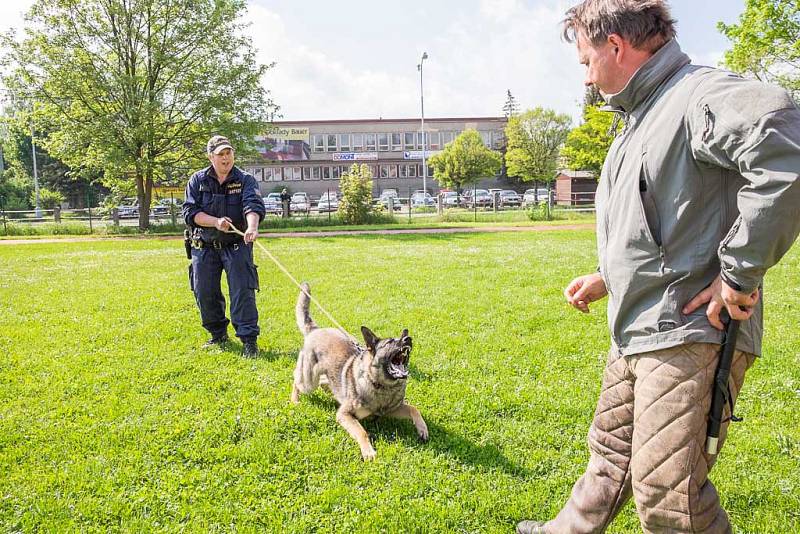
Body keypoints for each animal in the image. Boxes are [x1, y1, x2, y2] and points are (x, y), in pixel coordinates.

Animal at [290, 282, 428, 462]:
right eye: (390, 342)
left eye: (401, 338)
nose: (408, 338)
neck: (382, 386)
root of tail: (315, 330)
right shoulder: (344, 415)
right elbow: (362, 432)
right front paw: (368, 451)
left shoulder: (392, 410)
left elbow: (414, 408)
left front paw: (422, 428)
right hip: (308, 381)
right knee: (296, 381)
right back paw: (294, 400)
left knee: (325, 382)